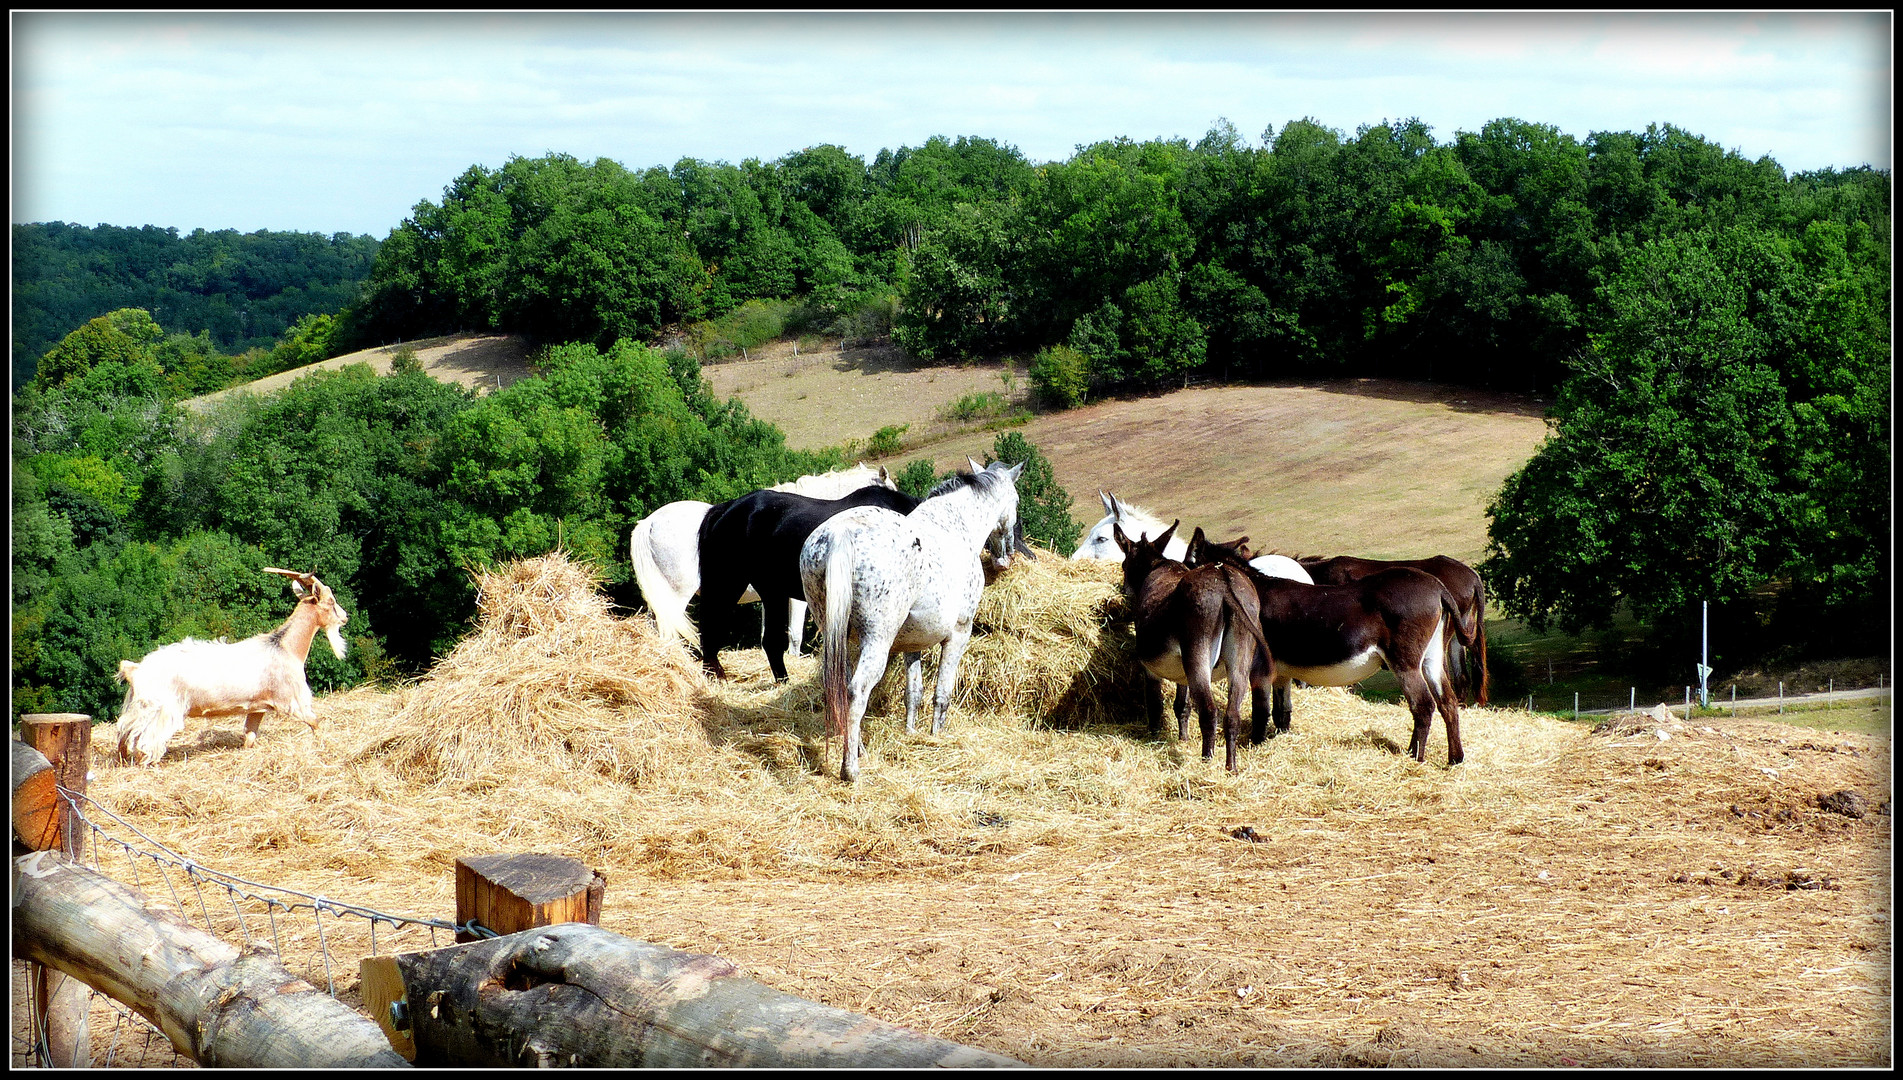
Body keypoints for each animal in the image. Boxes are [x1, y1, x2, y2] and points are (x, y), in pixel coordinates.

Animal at [115, 566, 352, 768]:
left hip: (139, 707)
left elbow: (249, 737)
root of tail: (136, 670)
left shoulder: (257, 708)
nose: (345, 617)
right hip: (161, 709)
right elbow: (315, 722)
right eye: (331, 601)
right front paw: (322, 746)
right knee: (145, 743)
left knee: (124, 734)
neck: (285, 647)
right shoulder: (292, 702)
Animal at [799, 460, 1027, 779]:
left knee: (841, 690)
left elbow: (913, 692)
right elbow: (942, 692)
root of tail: (841, 533)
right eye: (1016, 502)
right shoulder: (959, 634)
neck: (954, 526)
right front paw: (936, 736)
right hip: (876, 641)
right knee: (857, 691)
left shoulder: (911, 644)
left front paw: (911, 733)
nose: (1005, 557)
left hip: (837, 637)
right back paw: (851, 768)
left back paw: (860, 750)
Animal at [1179, 528, 1476, 764]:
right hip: (1431, 658)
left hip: (1404, 662)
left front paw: (1255, 746)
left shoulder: (1259, 669)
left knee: (1423, 705)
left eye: (1187, 564)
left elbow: (1261, 712)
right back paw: (1454, 759)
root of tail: (1436, 587)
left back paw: (1416, 758)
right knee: (1448, 703)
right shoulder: (1282, 673)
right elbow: (1282, 714)